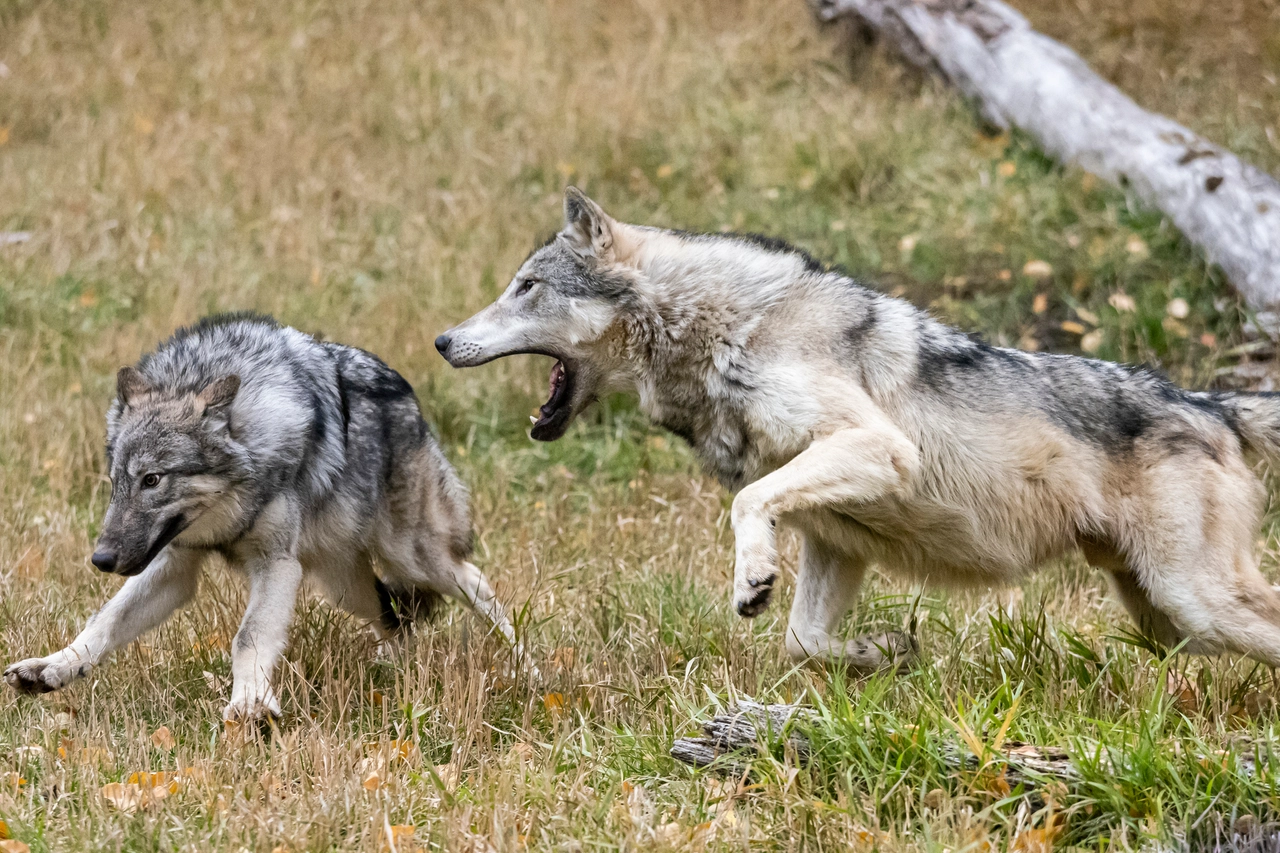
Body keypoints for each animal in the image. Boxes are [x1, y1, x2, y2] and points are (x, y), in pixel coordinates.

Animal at [8, 312, 519, 717]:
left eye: (152, 480)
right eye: (117, 482)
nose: (101, 560)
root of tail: (408, 394)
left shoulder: (276, 565)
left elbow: (248, 637)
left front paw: (251, 705)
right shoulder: (175, 564)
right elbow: (105, 620)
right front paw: (52, 668)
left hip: (410, 557)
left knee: (477, 584)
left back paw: (524, 669)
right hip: (344, 586)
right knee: (394, 621)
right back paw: (394, 673)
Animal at [432, 185, 1280, 671]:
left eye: (526, 287)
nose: (441, 340)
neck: (729, 328)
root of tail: (1211, 402)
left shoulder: (877, 448)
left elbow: (746, 505)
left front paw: (752, 578)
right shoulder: (837, 540)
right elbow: (806, 642)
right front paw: (887, 652)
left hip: (1193, 601)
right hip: (1167, 619)